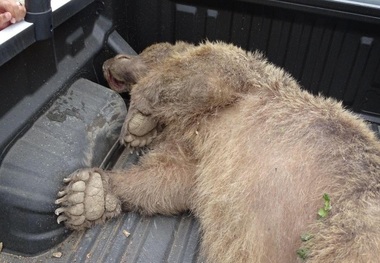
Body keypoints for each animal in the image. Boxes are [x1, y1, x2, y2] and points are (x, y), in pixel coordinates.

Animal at [55, 41, 380, 263]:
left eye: (136, 53)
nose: (108, 62)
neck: (196, 120)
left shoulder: (240, 80)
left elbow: (207, 69)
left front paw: (139, 116)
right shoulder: (196, 150)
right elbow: (172, 179)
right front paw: (87, 195)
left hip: (352, 223)